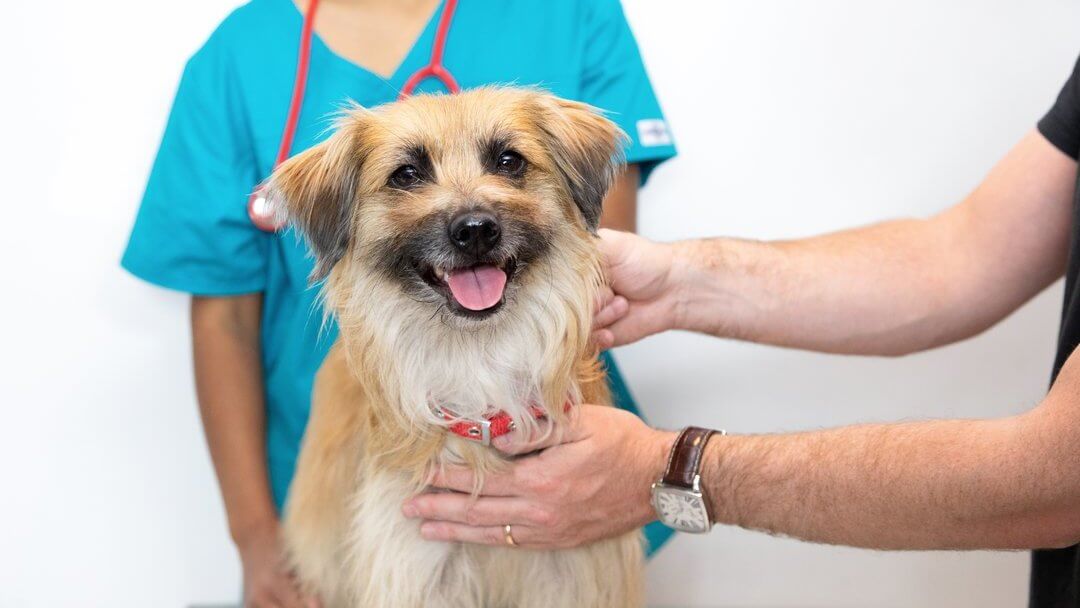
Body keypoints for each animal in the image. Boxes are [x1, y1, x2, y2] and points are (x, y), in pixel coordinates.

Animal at [266, 86, 643, 608]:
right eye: (407, 174)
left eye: (509, 161)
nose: (476, 230)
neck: (478, 360)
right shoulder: (415, 565)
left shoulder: (572, 574)